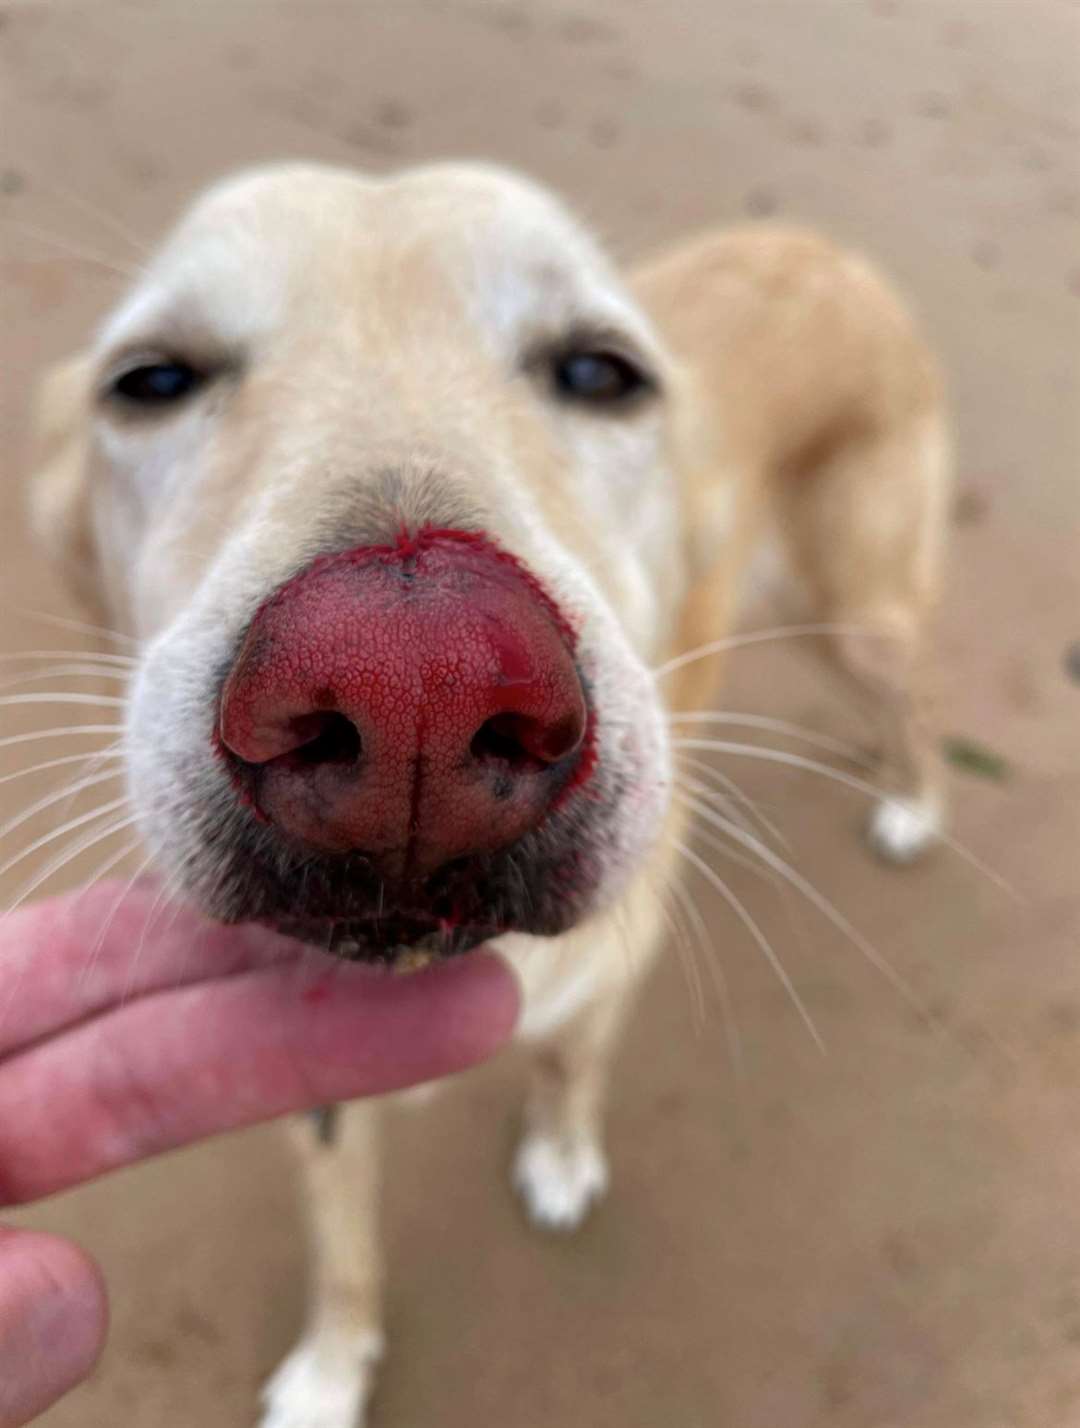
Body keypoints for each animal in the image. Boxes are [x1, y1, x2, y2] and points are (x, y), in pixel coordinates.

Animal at [27, 162, 942, 1428]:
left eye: (601, 372)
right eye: (153, 380)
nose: (416, 678)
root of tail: (816, 246)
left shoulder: (612, 967)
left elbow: (568, 1068)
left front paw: (558, 1156)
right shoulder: (317, 1091)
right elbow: (344, 1251)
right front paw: (330, 1373)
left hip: (856, 612)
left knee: (916, 705)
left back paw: (915, 804)